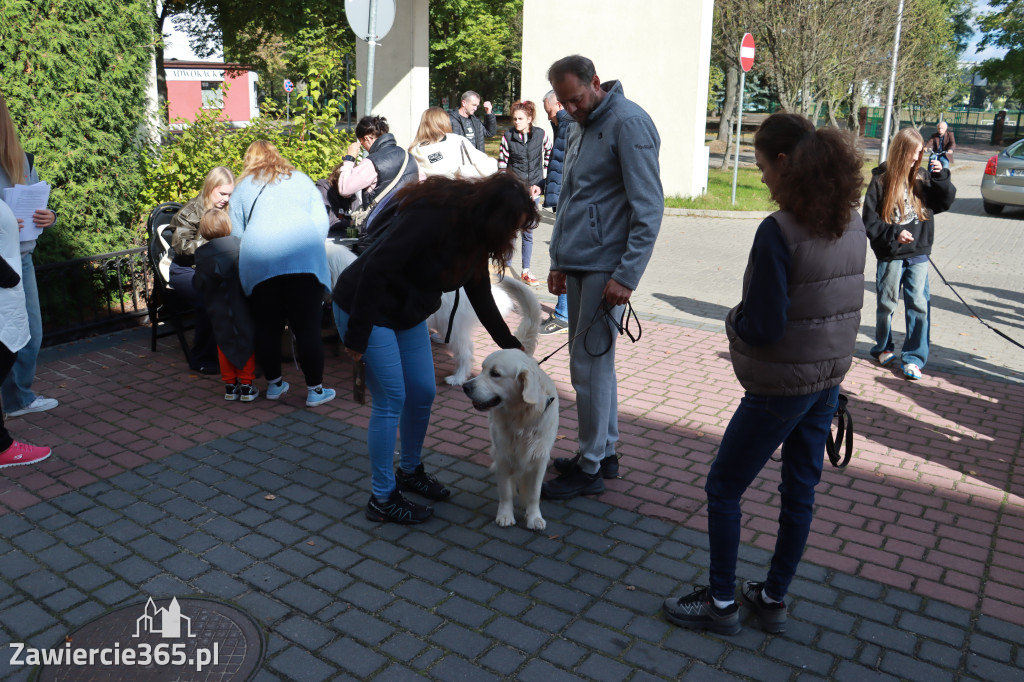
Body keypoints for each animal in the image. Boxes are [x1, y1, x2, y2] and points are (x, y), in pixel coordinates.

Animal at [462, 274, 557, 528]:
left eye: (495, 374)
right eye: (482, 369)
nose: (466, 386)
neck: (520, 417)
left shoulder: (539, 457)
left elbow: (534, 493)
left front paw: (534, 517)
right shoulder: (504, 454)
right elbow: (505, 490)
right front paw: (505, 515)